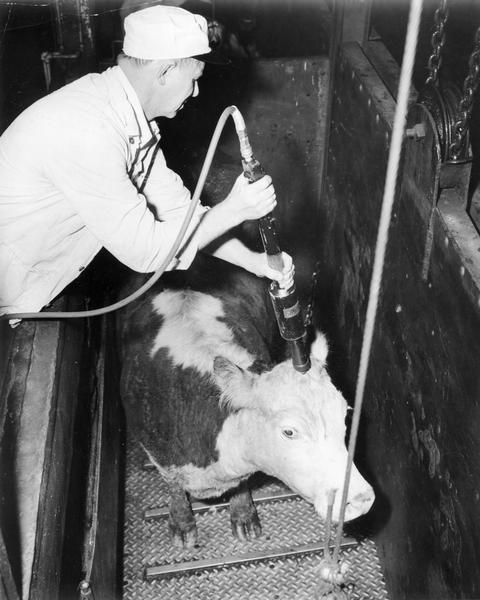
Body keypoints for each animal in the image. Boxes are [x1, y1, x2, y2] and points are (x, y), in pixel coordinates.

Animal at [117, 253, 376, 548]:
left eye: (345, 415)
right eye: (289, 432)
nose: (360, 500)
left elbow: (242, 485)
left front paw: (243, 517)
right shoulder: (156, 452)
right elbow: (173, 485)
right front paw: (182, 524)